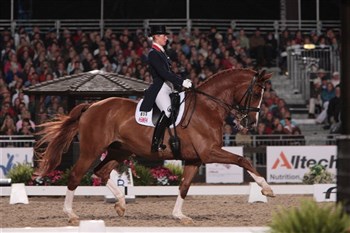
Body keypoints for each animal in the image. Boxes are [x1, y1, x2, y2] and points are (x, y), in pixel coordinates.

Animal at [36, 68, 276, 225]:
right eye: (256, 93)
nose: (250, 123)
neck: (208, 107)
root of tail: (92, 105)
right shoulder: (208, 153)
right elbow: (243, 159)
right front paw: (266, 188)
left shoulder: (195, 158)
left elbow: (184, 186)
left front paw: (179, 216)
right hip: (91, 150)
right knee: (76, 175)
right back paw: (71, 214)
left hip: (119, 150)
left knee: (101, 171)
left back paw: (121, 204)